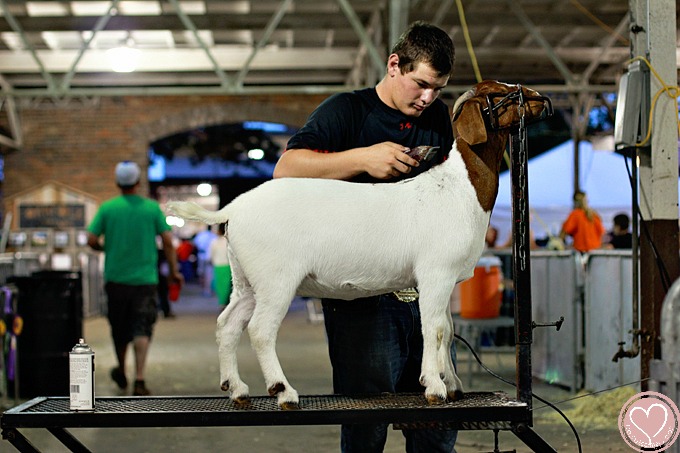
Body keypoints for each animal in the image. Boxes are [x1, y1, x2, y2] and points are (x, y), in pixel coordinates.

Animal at [166, 80, 552, 410]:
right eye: (499, 92)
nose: (541, 98)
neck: (460, 188)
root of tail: (233, 209)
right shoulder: (436, 273)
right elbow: (436, 329)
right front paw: (435, 387)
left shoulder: (441, 280)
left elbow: (447, 329)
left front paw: (453, 383)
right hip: (276, 278)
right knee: (260, 330)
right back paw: (283, 391)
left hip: (247, 279)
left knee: (228, 324)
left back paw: (237, 389)